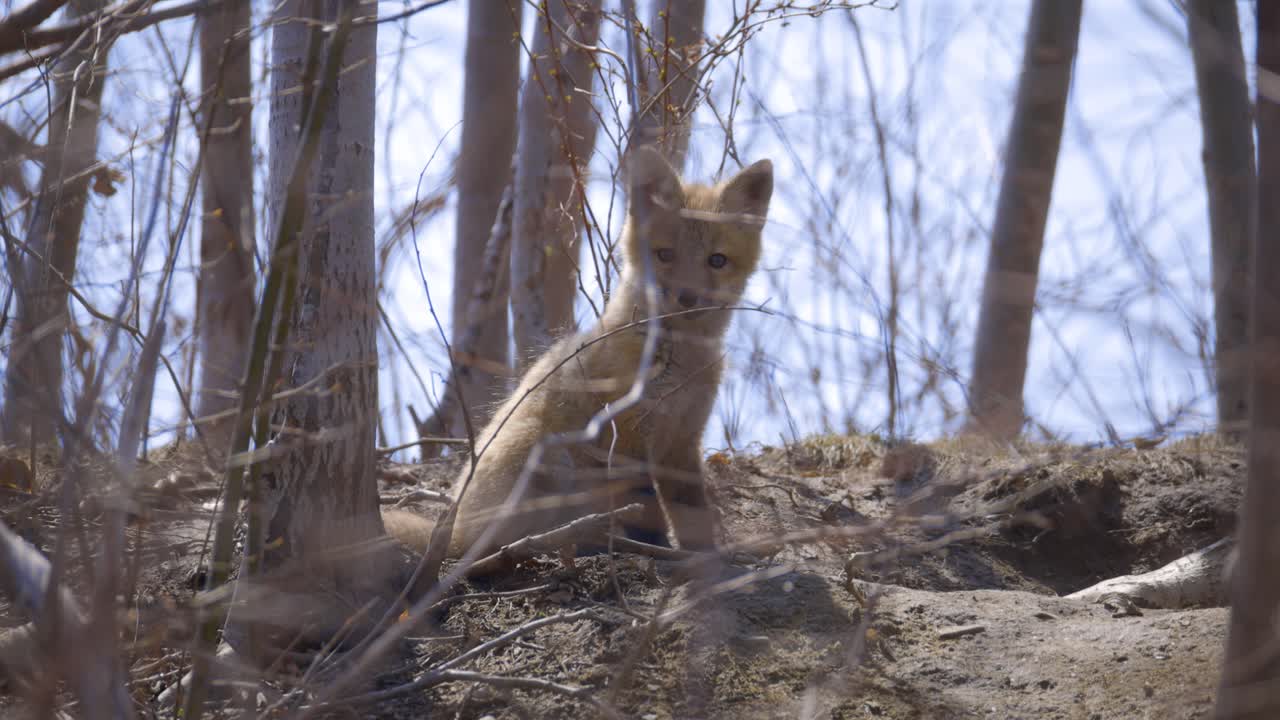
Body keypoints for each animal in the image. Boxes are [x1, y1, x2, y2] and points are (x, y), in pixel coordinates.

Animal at [384, 145, 773, 559]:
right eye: (665, 255)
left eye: (717, 260)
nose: (686, 298)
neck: (678, 365)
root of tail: (456, 530)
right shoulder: (626, 436)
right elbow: (645, 508)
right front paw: (656, 550)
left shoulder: (683, 440)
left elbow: (692, 512)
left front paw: (707, 558)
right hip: (551, 454)